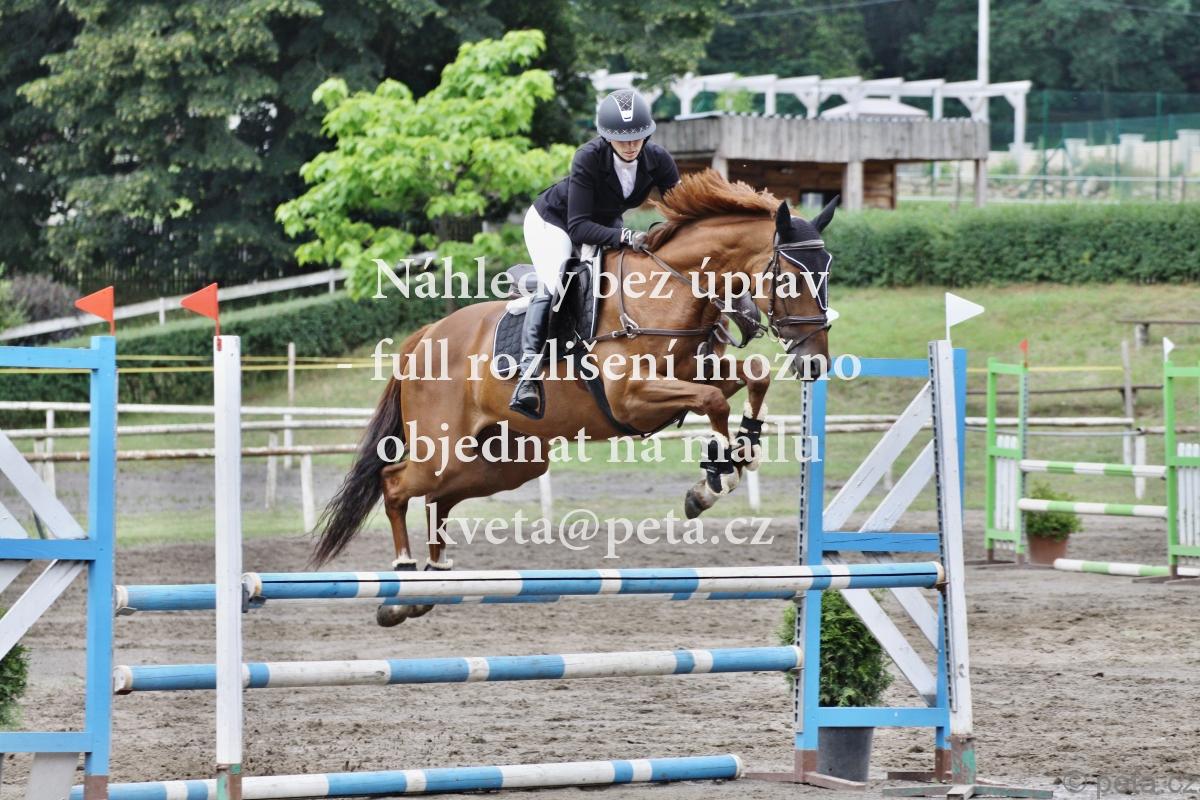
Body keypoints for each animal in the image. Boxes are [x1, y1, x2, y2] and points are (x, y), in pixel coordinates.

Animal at [311, 170, 837, 626]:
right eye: (790, 277)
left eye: (827, 272)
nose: (815, 363)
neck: (666, 291)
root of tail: (424, 336)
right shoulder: (632, 398)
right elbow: (713, 402)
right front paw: (716, 476)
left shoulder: (698, 371)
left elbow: (752, 377)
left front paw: (739, 453)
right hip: (441, 447)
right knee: (396, 484)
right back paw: (401, 587)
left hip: (508, 460)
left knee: (438, 497)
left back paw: (430, 582)